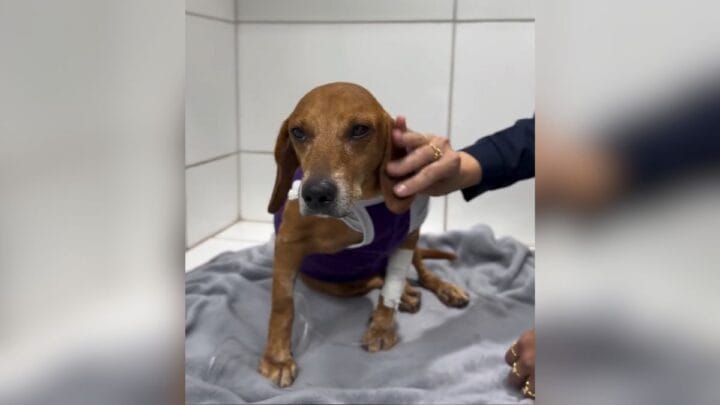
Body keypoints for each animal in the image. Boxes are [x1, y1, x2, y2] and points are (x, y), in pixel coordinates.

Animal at [259, 82, 469, 387]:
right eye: (298, 132)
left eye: (359, 129)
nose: (316, 194)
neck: (361, 203)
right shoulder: (288, 245)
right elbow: (282, 305)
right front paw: (277, 358)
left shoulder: (408, 236)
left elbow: (390, 291)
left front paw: (382, 328)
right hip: (335, 284)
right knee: (373, 280)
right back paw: (406, 293)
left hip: (415, 246)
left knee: (419, 274)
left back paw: (441, 289)